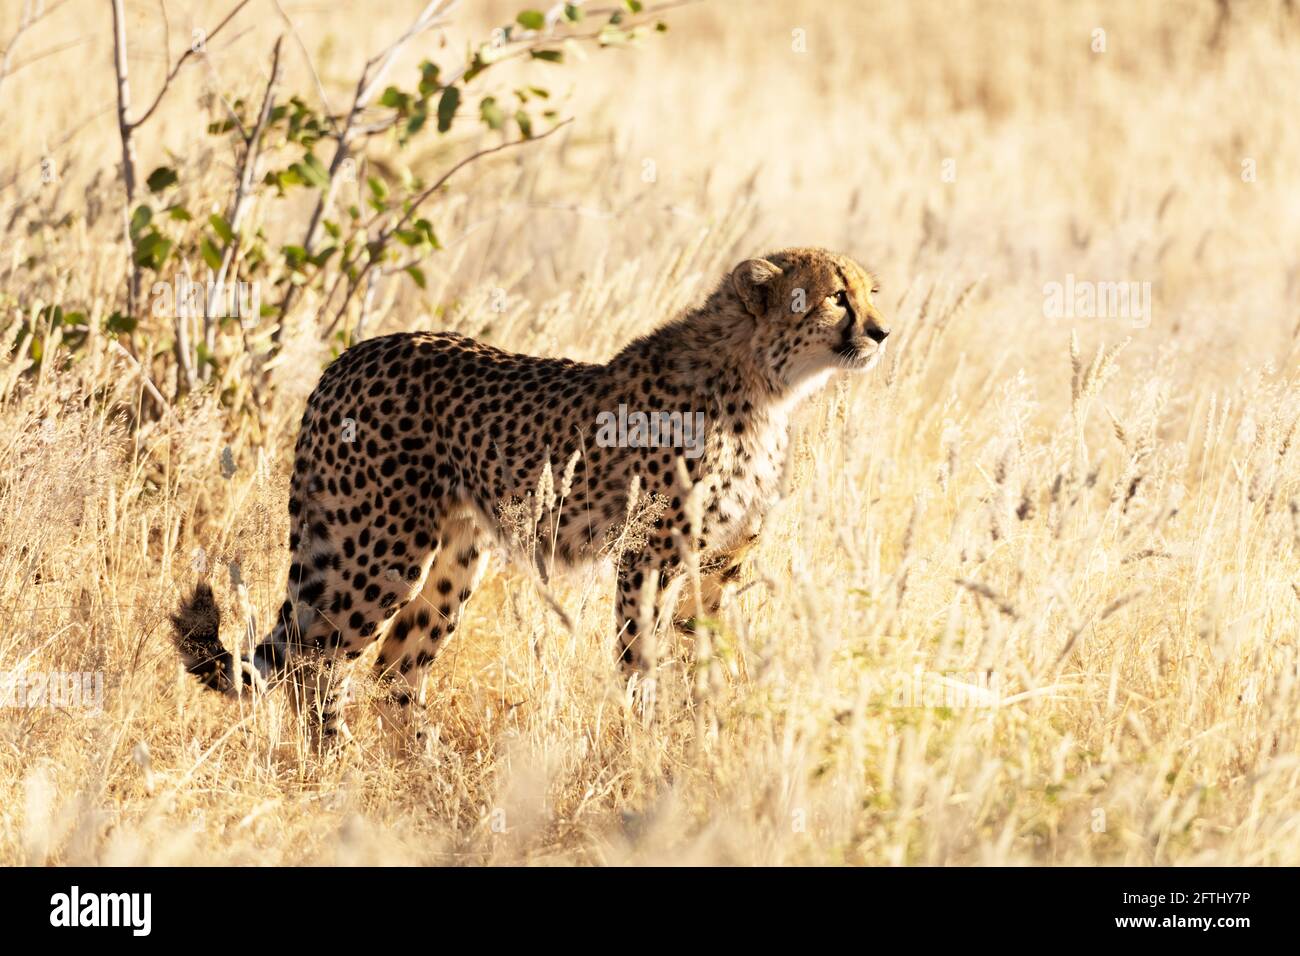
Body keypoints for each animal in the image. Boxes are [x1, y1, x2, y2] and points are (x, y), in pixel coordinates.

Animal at [171, 246, 890, 747]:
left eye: (870, 292)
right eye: (836, 297)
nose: (882, 332)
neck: (764, 382)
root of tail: (350, 356)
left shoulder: (718, 561)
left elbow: (701, 654)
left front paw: (702, 733)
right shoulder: (651, 554)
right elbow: (641, 657)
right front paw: (648, 741)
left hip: (452, 561)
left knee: (391, 672)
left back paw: (430, 765)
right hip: (379, 551)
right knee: (314, 662)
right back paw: (338, 766)